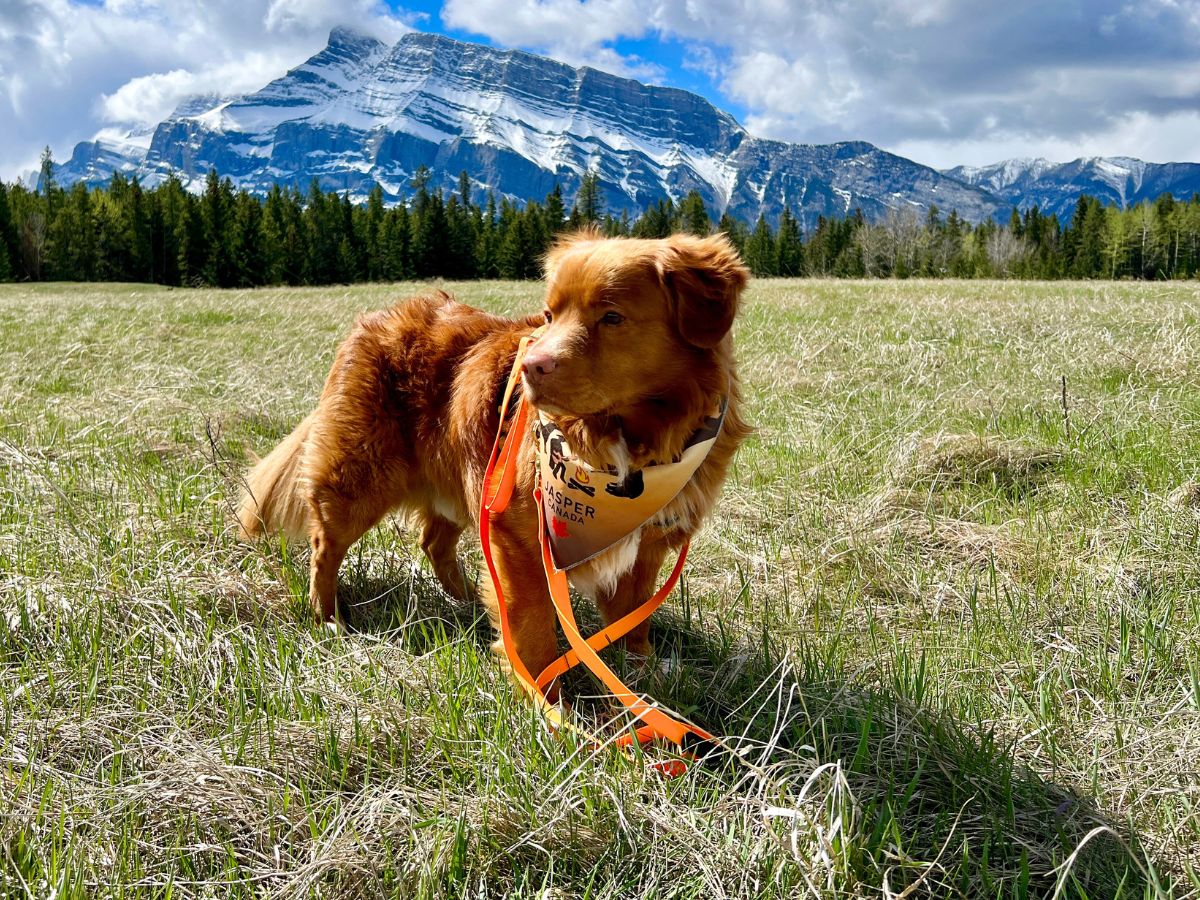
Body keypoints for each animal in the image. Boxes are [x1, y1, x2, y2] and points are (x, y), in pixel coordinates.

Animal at [234, 232, 748, 691]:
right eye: (550, 315)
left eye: (612, 317)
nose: (530, 367)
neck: (625, 442)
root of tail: (379, 316)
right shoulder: (519, 532)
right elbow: (535, 626)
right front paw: (546, 702)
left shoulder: (648, 543)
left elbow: (633, 618)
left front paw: (638, 677)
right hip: (362, 474)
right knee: (326, 545)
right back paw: (329, 617)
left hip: (466, 479)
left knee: (433, 540)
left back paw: (466, 602)